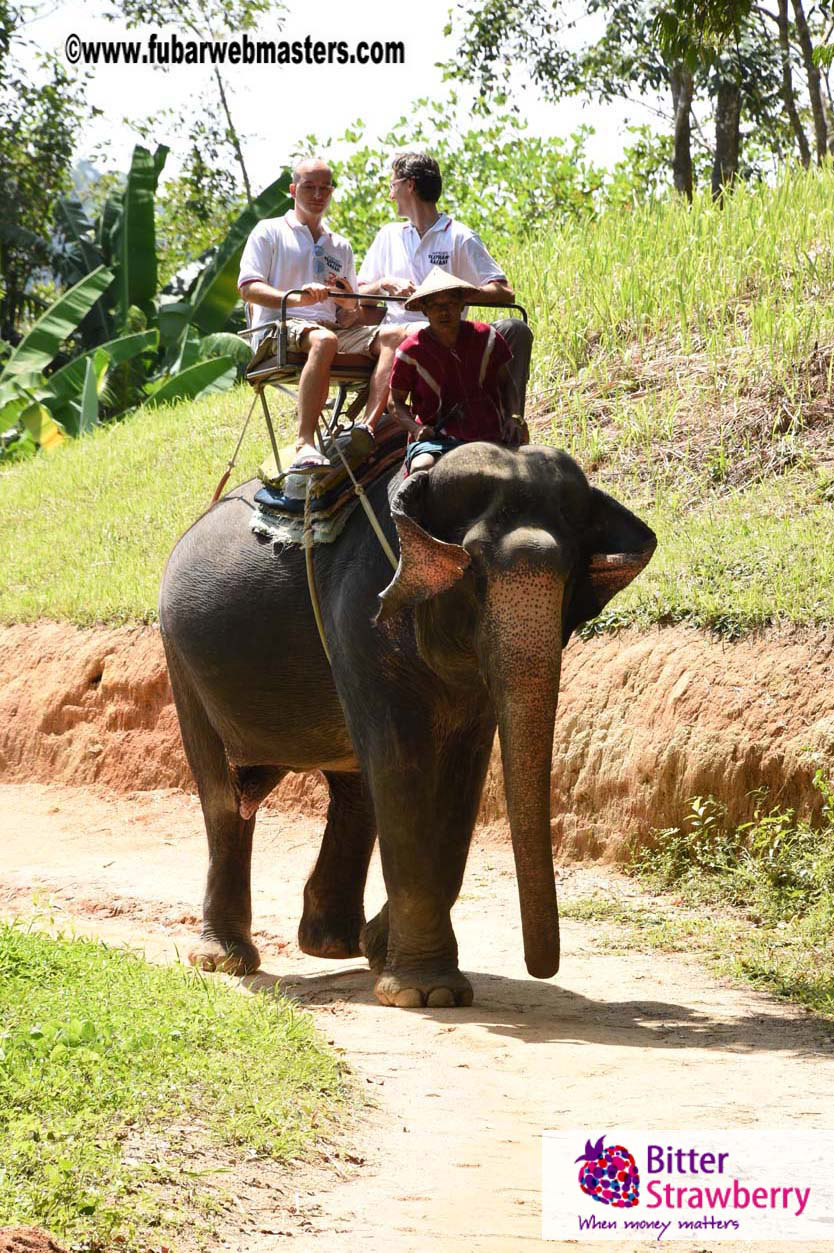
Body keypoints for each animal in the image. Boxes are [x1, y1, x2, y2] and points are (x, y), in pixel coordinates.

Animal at [159, 440, 655, 1009]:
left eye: (574, 571)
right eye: (472, 570)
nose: (543, 970)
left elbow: (462, 775)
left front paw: (387, 954)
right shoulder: (363, 612)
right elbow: (403, 761)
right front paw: (426, 994)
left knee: (354, 790)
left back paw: (335, 945)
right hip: (180, 658)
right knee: (225, 799)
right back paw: (225, 961)